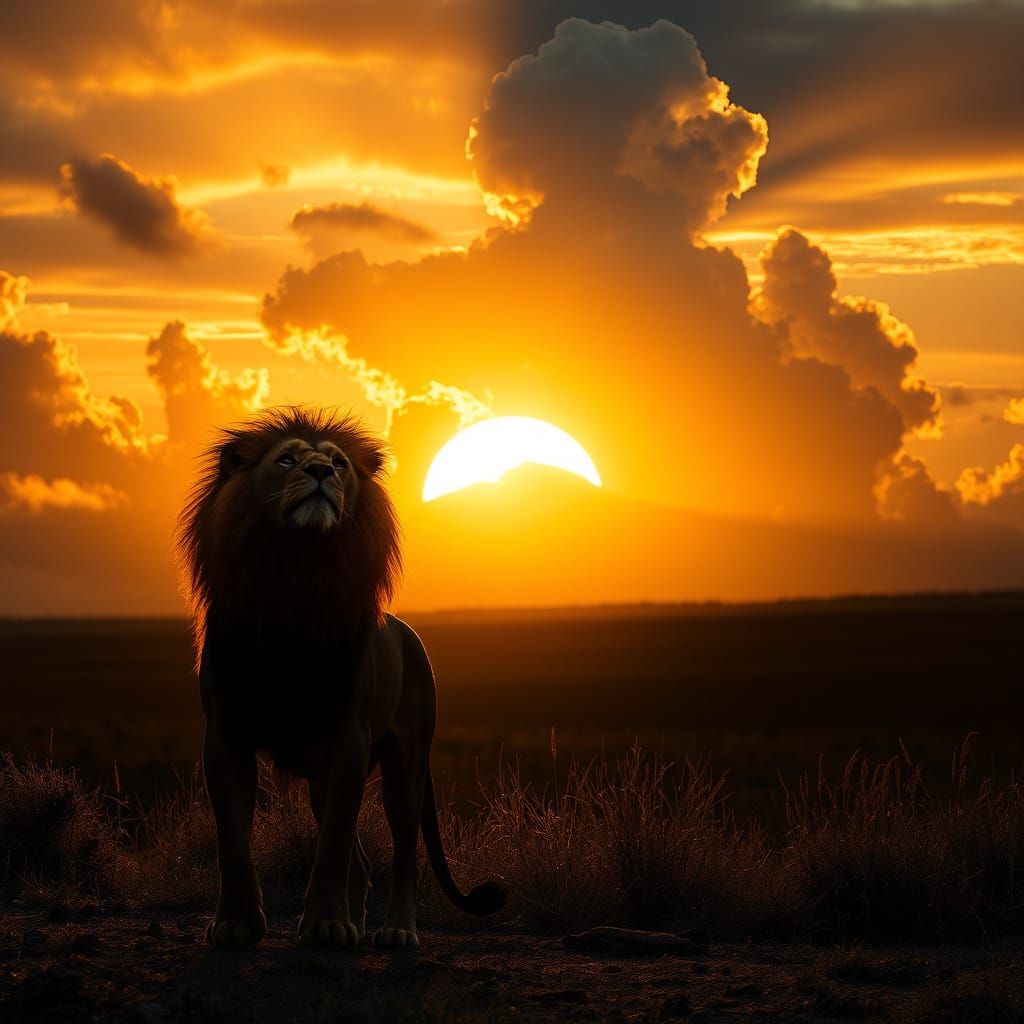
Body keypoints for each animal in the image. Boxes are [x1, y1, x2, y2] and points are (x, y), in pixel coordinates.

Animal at [177, 406, 506, 949]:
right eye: (286, 459)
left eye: (338, 463)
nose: (319, 471)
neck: (297, 575)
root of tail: (409, 633)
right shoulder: (225, 736)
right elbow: (232, 841)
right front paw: (236, 924)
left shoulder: (346, 736)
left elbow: (331, 844)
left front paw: (327, 924)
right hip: (318, 777)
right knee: (364, 862)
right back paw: (359, 924)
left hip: (404, 767)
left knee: (404, 854)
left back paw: (395, 931)